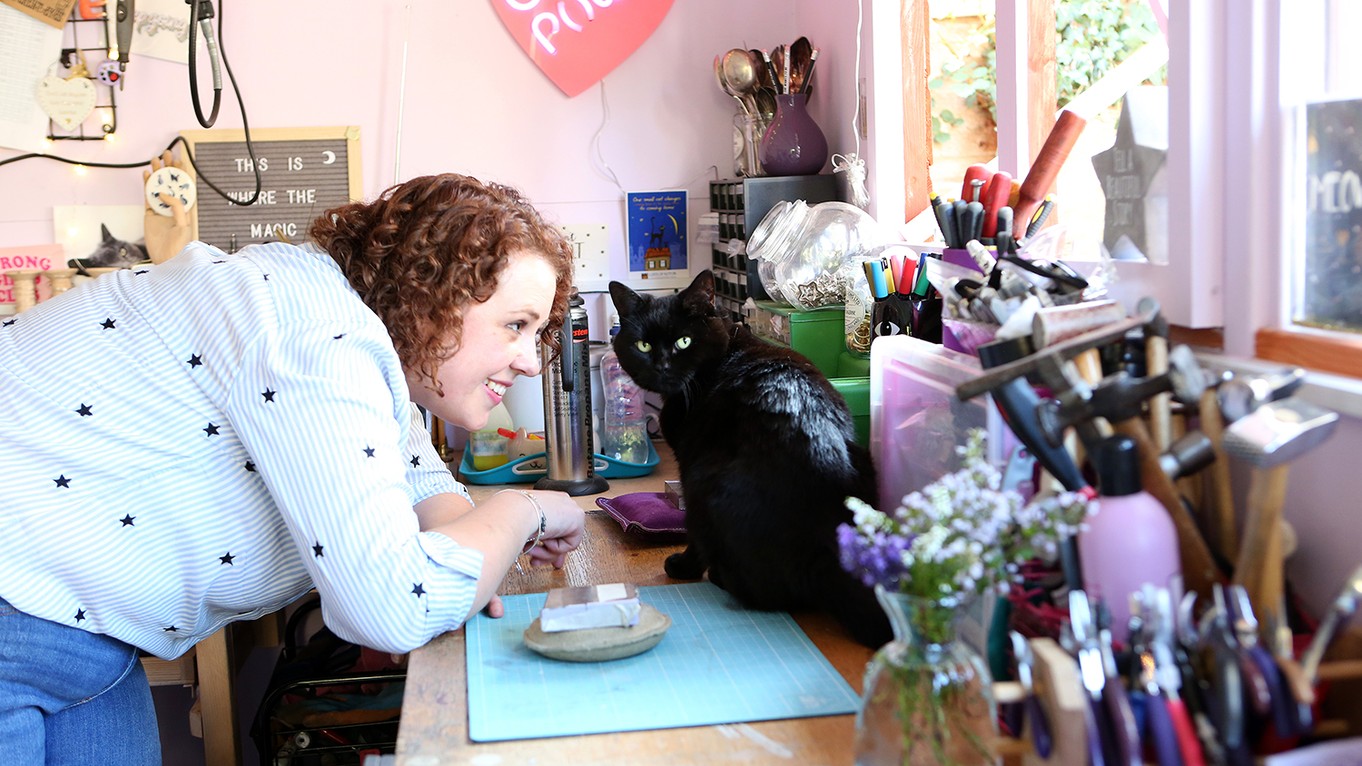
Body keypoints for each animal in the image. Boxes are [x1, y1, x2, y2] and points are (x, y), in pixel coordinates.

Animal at [610, 268, 893, 643]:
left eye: (684, 342)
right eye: (643, 345)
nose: (662, 366)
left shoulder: (686, 463)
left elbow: (692, 534)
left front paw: (682, 566)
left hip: (702, 480)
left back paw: (717, 576)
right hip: (864, 460)